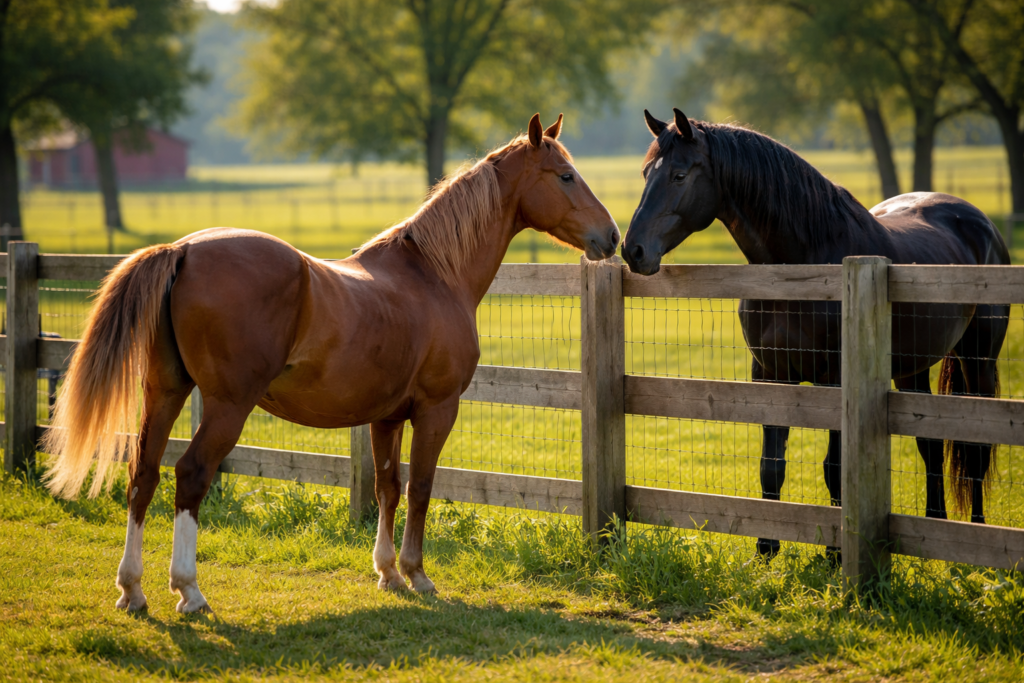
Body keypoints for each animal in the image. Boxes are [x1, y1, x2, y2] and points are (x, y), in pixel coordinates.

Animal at [44, 113, 619, 612]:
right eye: (566, 176)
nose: (611, 237)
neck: (434, 275)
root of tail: (182, 250)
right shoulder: (437, 410)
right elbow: (421, 487)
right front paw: (417, 574)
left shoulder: (387, 417)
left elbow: (388, 487)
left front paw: (387, 572)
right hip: (227, 406)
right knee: (190, 474)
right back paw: (189, 591)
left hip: (165, 392)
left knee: (143, 474)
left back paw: (132, 589)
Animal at [622, 108, 1009, 559]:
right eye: (646, 172)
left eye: (680, 175)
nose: (633, 250)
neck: (802, 265)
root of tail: (982, 224)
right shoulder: (770, 376)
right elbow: (771, 467)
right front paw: (766, 547)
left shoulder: (835, 381)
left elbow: (835, 468)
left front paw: (836, 553)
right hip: (911, 369)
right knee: (930, 445)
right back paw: (935, 528)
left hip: (978, 360)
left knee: (978, 450)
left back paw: (977, 537)